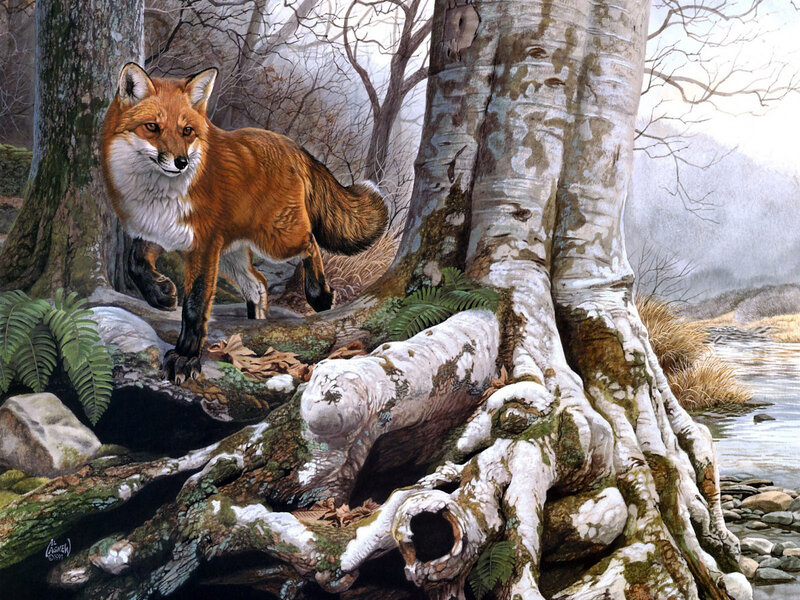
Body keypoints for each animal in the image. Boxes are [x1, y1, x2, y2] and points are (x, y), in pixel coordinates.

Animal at [100, 63, 387, 384]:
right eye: (152, 127)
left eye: (187, 131)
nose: (181, 162)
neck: (158, 195)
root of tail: (290, 145)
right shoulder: (158, 231)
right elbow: (134, 263)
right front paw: (162, 295)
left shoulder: (202, 246)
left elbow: (195, 305)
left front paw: (186, 357)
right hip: (230, 253)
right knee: (258, 285)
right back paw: (257, 326)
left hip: (276, 240)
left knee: (311, 243)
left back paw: (320, 295)